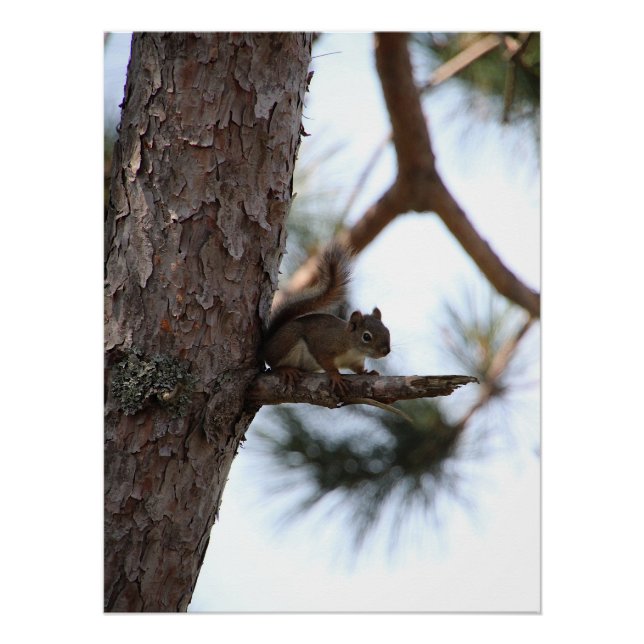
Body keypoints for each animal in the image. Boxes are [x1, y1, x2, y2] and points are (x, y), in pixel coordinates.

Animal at [261, 243, 391, 396]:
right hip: (288, 340)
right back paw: (285, 369)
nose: (386, 351)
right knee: (274, 363)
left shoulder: (356, 361)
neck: (353, 348)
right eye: (366, 336)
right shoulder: (324, 344)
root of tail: (266, 344)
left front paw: (366, 373)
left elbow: (358, 369)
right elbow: (326, 362)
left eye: (387, 331)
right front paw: (335, 376)